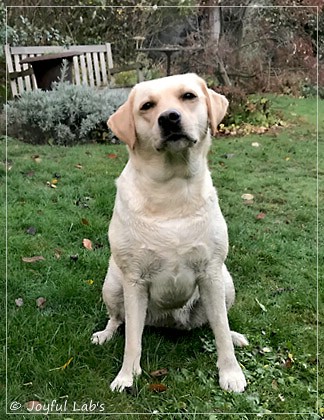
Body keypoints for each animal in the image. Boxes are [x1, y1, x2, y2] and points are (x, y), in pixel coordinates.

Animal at [92, 73, 249, 394]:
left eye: (188, 96)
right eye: (147, 106)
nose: (169, 118)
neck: (172, 190)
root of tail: (168, 322)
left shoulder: (211, 273)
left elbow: (220, 331)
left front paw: (231, 373)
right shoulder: (134, 280)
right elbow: (132, 340)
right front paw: (126, 376)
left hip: (226, 283)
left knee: (217, 322)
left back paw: (236, 335)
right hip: (112, 285)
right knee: (118, 319)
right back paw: (105, 334)